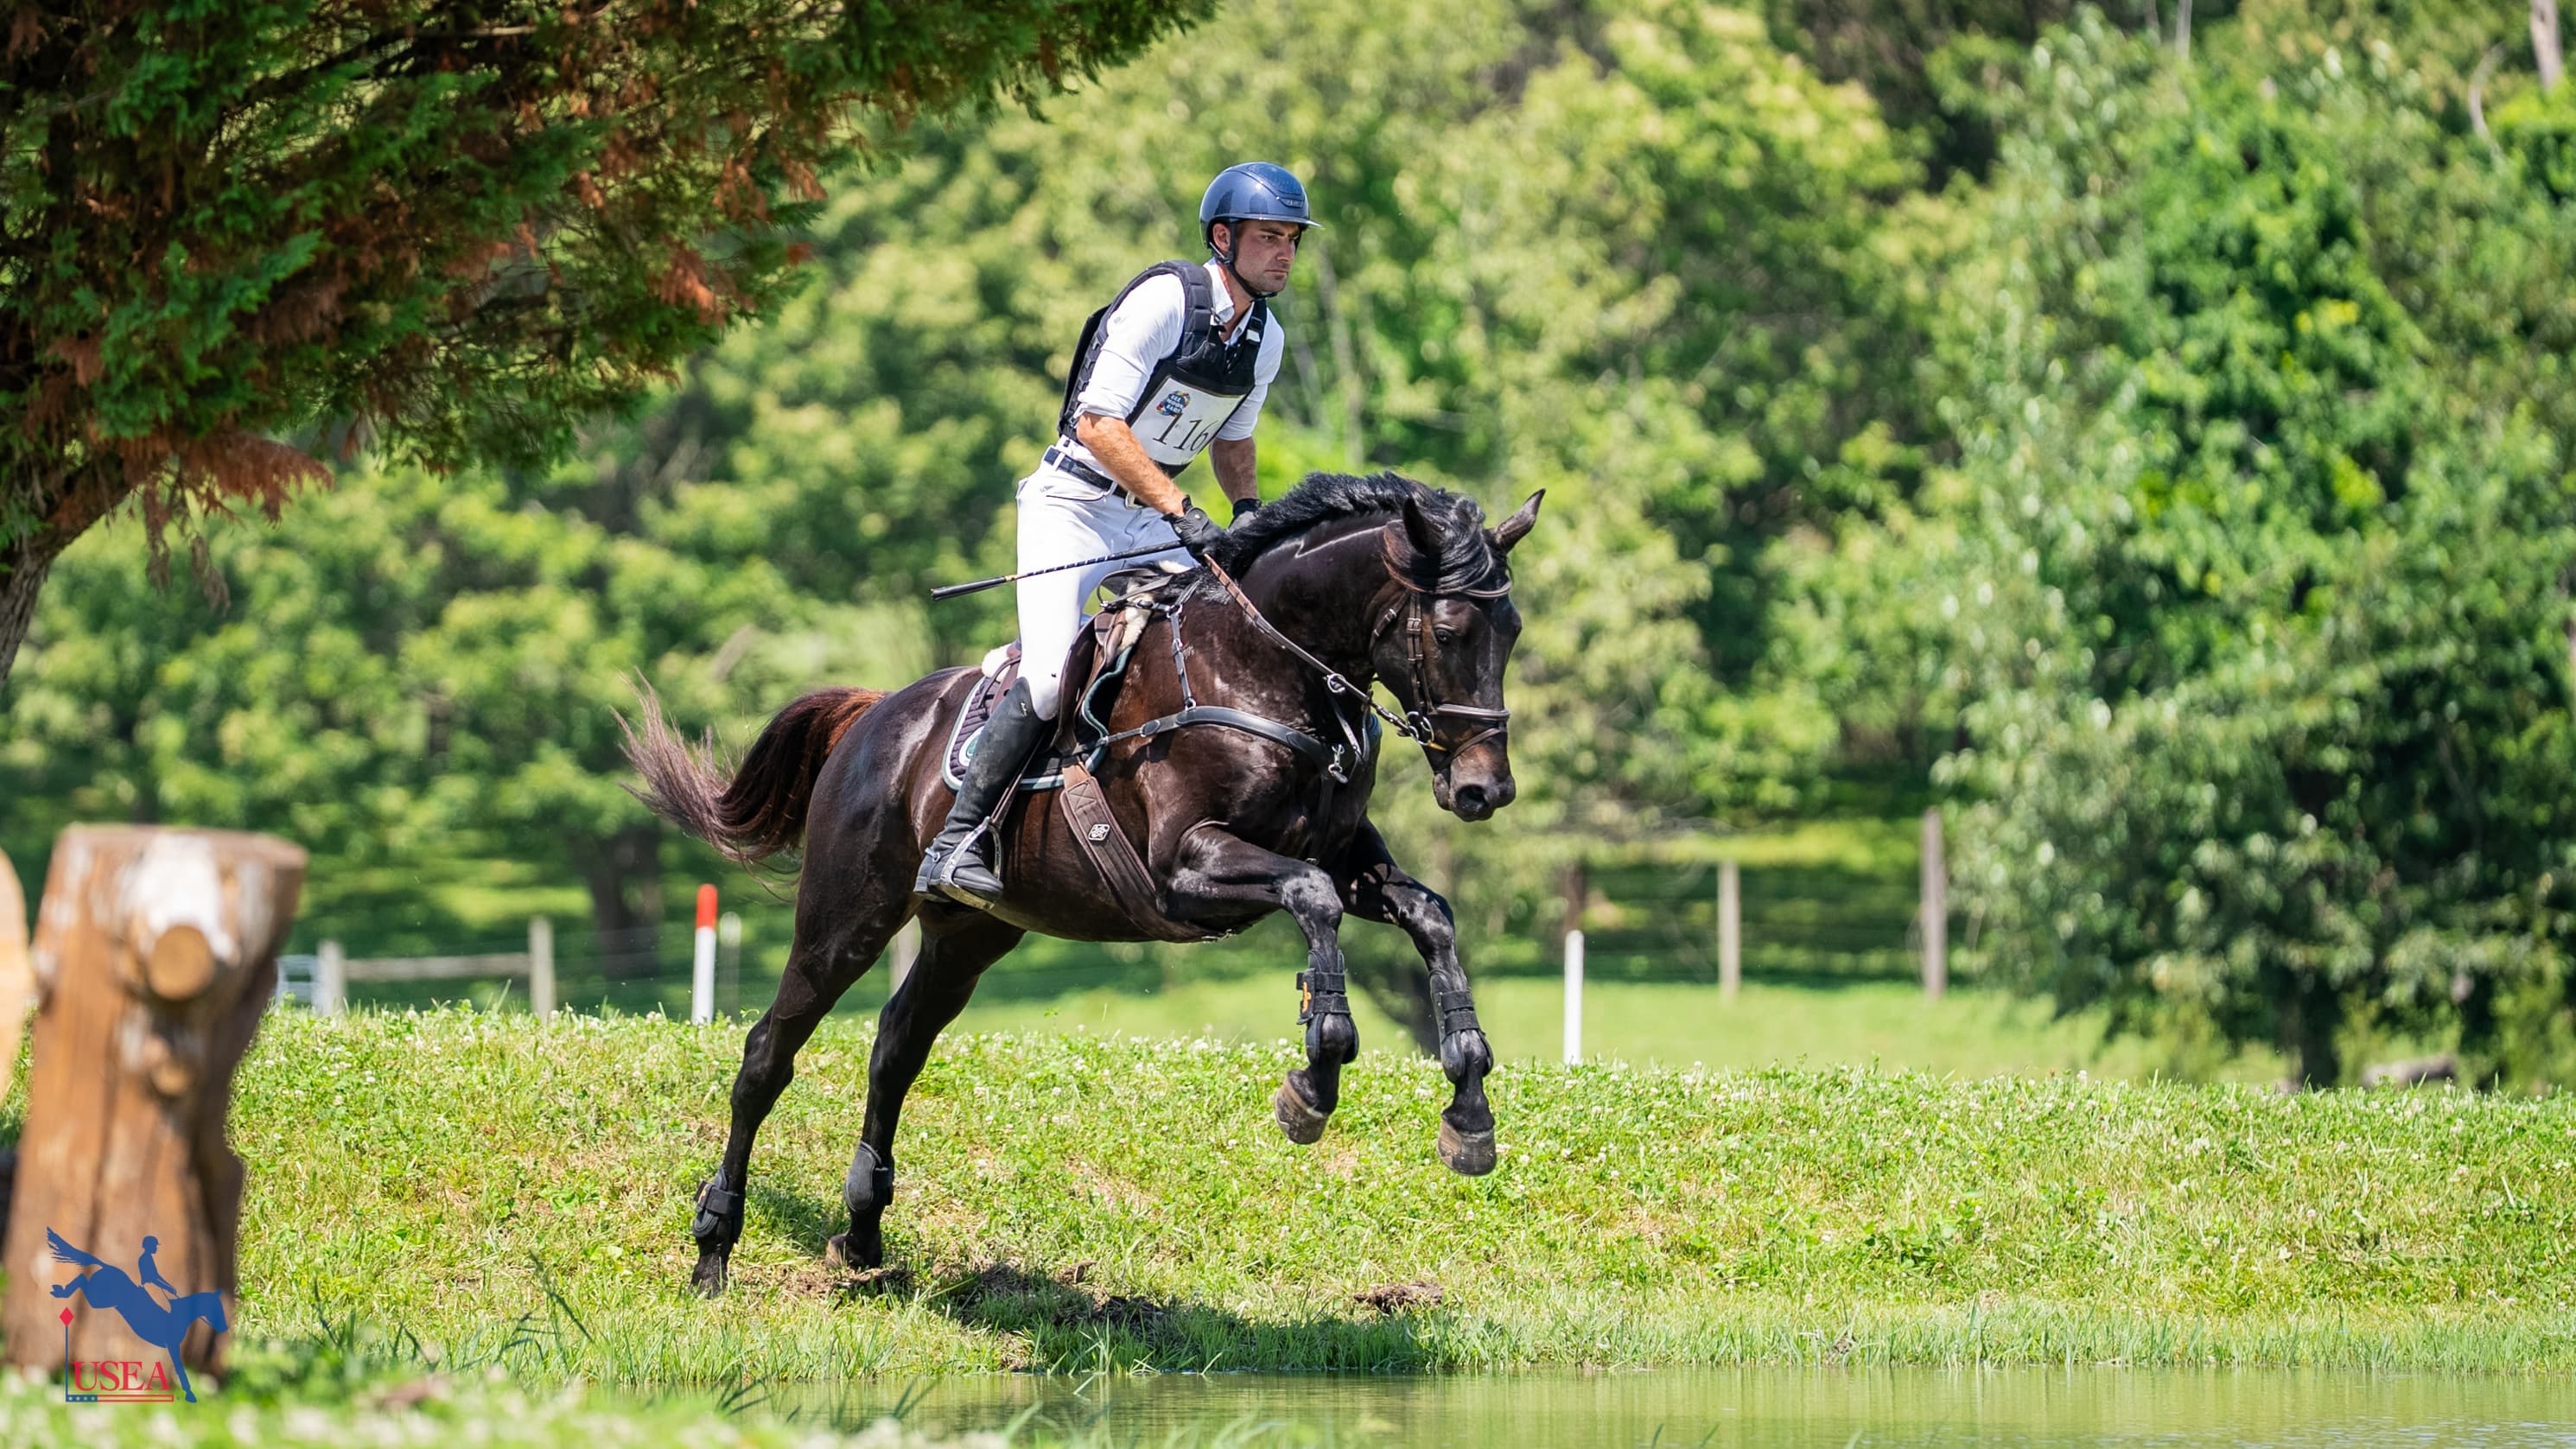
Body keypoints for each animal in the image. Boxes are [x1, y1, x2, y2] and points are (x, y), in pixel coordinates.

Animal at [624, 470, 1541, 1295]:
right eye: (1451, 629)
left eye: (1514, 629)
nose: (1483, 790)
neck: (1264, 671)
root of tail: (876, 714)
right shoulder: (1187, 867)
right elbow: (1312, 899)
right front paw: (1314, 1079)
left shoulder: (1352, 862)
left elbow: (1429, 914)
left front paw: (1469, 1107)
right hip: (847, 916)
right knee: (767, 1055)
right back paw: (713, 1245)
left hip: (971, 934)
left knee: (895, 1049)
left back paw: (862, 1231)